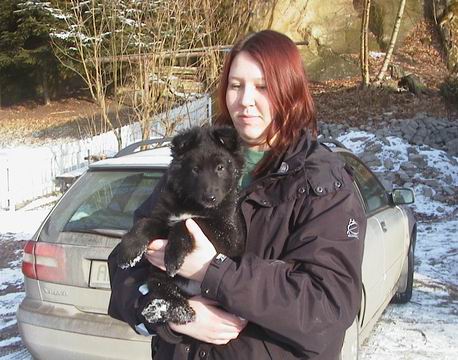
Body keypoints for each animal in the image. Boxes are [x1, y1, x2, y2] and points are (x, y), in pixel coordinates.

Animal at [118, 126, 245, 324]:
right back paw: (167, 309)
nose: (210, 198)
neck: (192, 204)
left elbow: (187, 222)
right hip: (157, 273)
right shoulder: (163, 219)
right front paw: (128, 252)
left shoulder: (230, 236)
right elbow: (144, 223)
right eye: (195, 169)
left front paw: (173, 257)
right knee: (163, 288)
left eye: (220, 167)